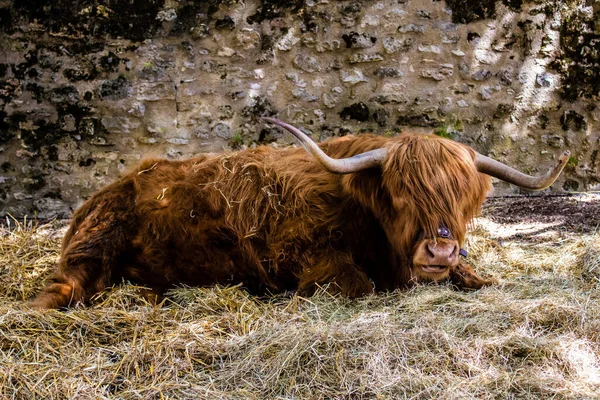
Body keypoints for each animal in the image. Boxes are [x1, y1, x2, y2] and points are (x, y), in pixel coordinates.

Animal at [29, 116, 572, 310]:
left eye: (462, 196)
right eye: (401, 194)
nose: (438, 249)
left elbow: (477, 277)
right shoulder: (309, 256)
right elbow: (359, 285)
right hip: (91, 250)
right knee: (64, 287)